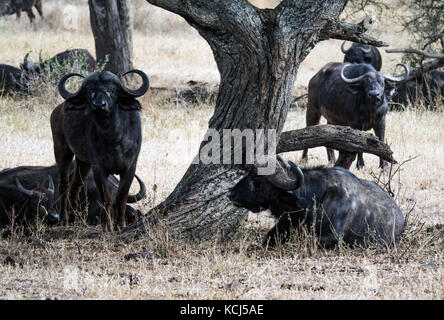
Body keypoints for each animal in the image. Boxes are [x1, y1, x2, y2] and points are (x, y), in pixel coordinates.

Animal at [50, 70, 149, 230]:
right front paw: (107, 225)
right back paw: (64, 219)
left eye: (112, 90)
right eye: (90, 90)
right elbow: (106, 198)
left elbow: (121, 197)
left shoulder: (130, 167)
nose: (99, 105)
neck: (114, 138)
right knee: (63, 183)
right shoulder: (99, 168)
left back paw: (73, 218)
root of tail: (58, 110)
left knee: (75, 185)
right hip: (61, 149)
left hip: (83, 161)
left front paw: (120, 224)